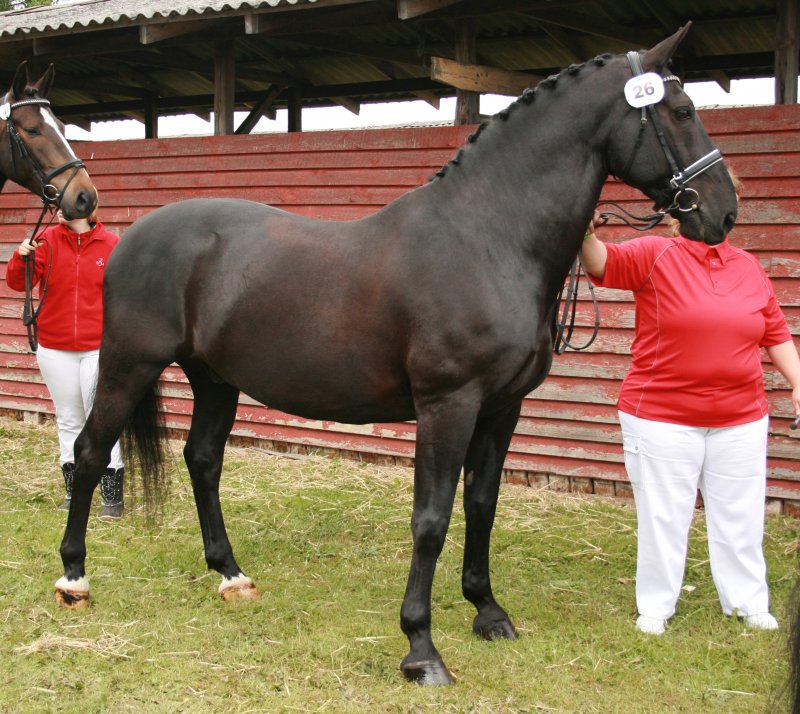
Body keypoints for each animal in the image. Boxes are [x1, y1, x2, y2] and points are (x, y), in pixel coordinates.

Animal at [55, 24, 737, 685]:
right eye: (681, 110)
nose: (723, 213)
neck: (486, 239)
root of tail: (132, 237)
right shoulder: (447, 405)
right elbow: (430, 519)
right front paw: (421, 649)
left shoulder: (502, 408)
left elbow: (482, 505)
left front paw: (488, 612)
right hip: (128, 366)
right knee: (87, 454)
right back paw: (74, 579)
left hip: (215, 378)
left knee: (202, 460)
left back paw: (231, 575)